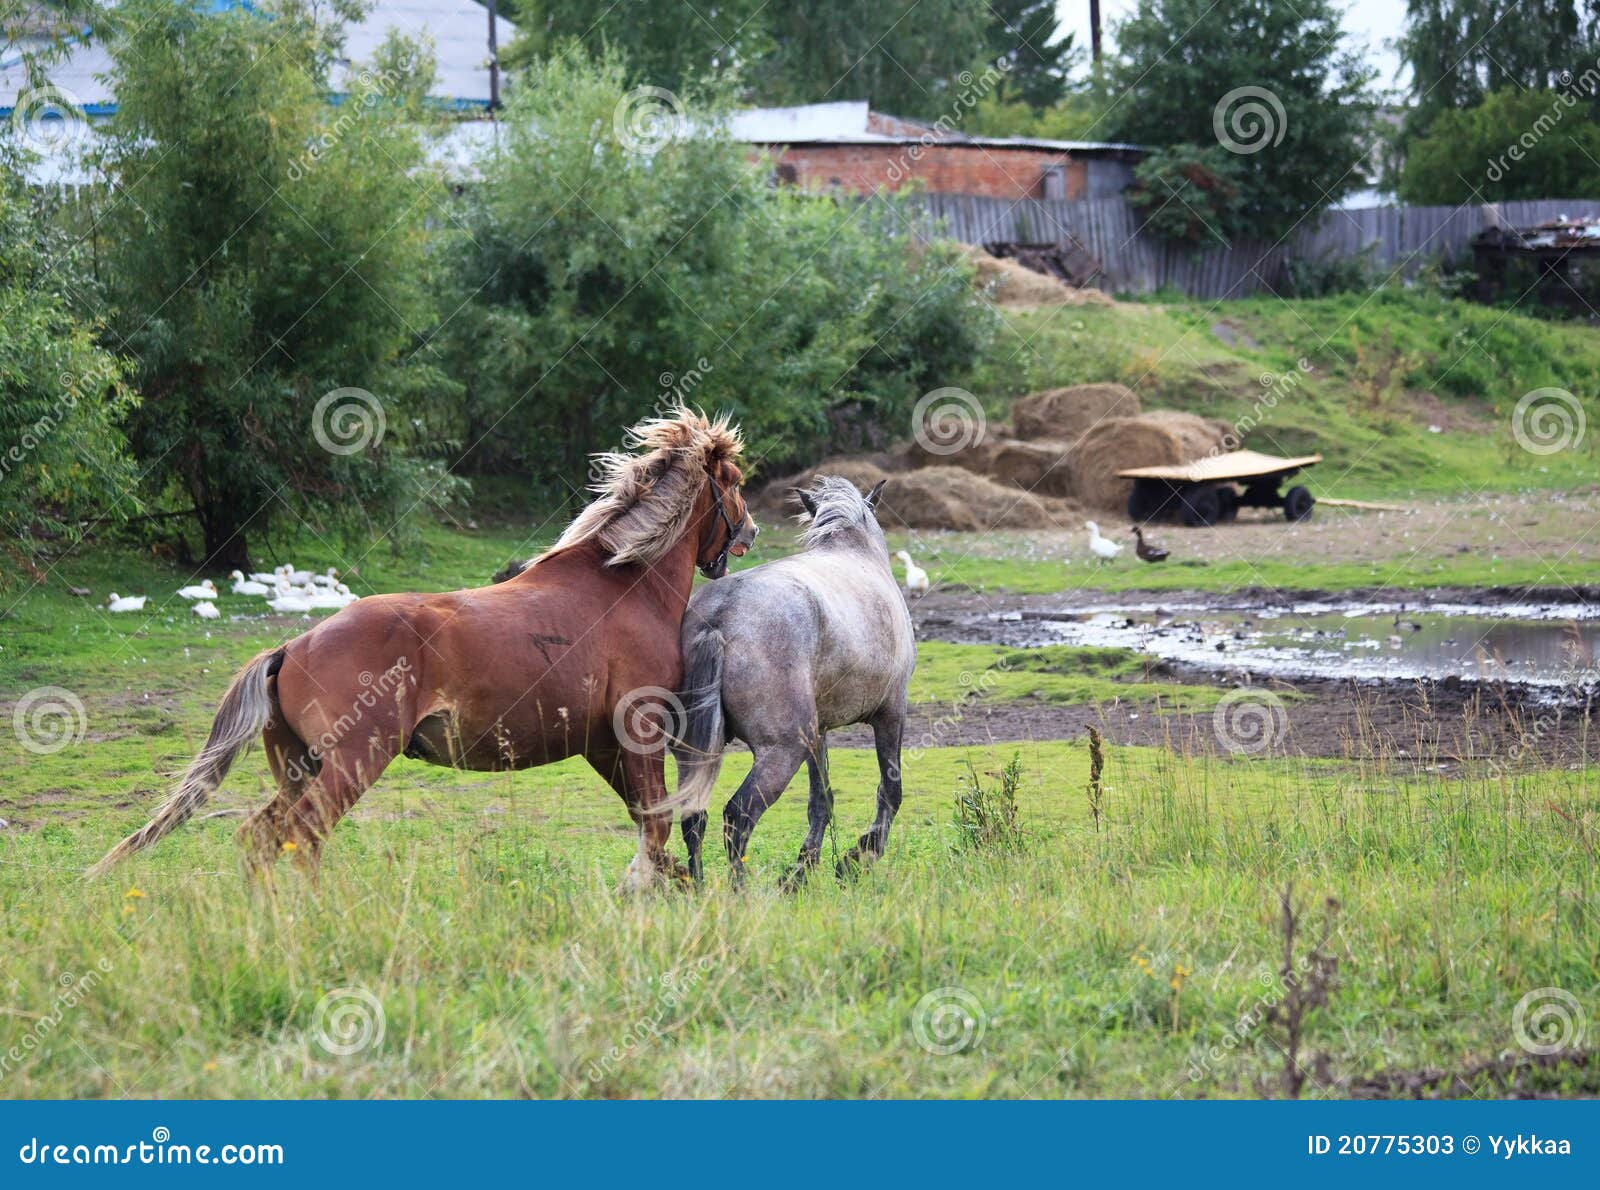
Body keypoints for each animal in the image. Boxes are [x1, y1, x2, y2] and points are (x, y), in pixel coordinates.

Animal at [88, 407, 756, 890]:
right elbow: (657, 826)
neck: (623, 584)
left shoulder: (599, 745)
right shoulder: (637, 733)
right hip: (351, 765)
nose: (748, 532)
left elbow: (652, 829)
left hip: (300, 770)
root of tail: (291, 646)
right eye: (734, 485)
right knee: (304, 839)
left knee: (260, 839)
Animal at [669, 476, 915, 889]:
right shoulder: (891, 712)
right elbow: (891, 789)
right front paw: (856, 858)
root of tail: (720, 616)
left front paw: (803, 869)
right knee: (737, 816)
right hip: (782, 751)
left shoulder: (819, 732)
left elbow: (821, 800)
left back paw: (700, 888)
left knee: (694, 816)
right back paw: (742, 892)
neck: (856, 552)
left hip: (697, 751)